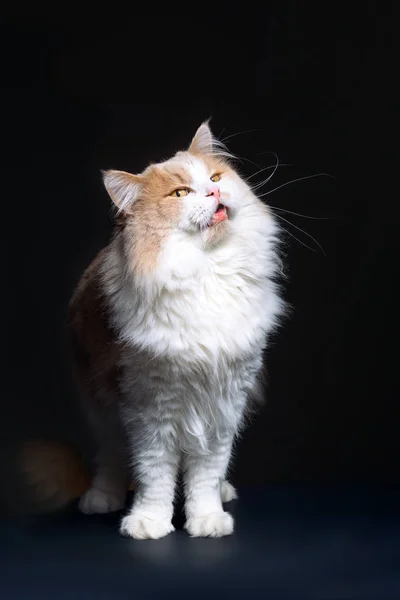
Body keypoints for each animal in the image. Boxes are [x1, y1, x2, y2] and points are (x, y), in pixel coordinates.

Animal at [21, 122, 284, 540]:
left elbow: (206, 472)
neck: (208, 273)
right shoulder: (148, 406)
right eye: (180, 194)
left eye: (214, 178)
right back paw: (102, 498)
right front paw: (148, 522)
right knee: (111, 457)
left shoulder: (223, 403)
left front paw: (206, 519)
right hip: (102, 408)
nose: (214, 193)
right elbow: (154, 472)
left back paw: (224, 492)